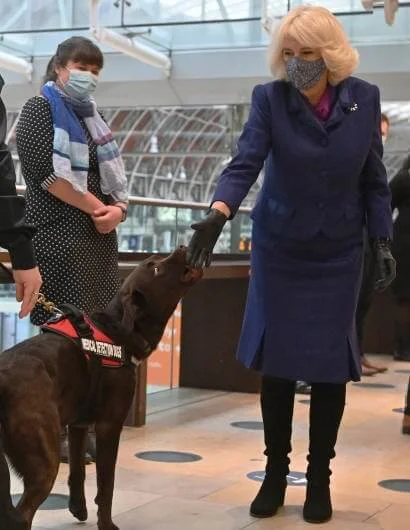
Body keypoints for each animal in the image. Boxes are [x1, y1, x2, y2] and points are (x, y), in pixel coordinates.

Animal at [0, 248, 203, 528]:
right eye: (156, 269)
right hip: (44, 462)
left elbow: (77, 471)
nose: (182, 246)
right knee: (21, 514)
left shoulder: (78, 424)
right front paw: (106, 524)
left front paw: (78, 508)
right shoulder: (109, 426)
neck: (117, 333)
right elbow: (107, 484)